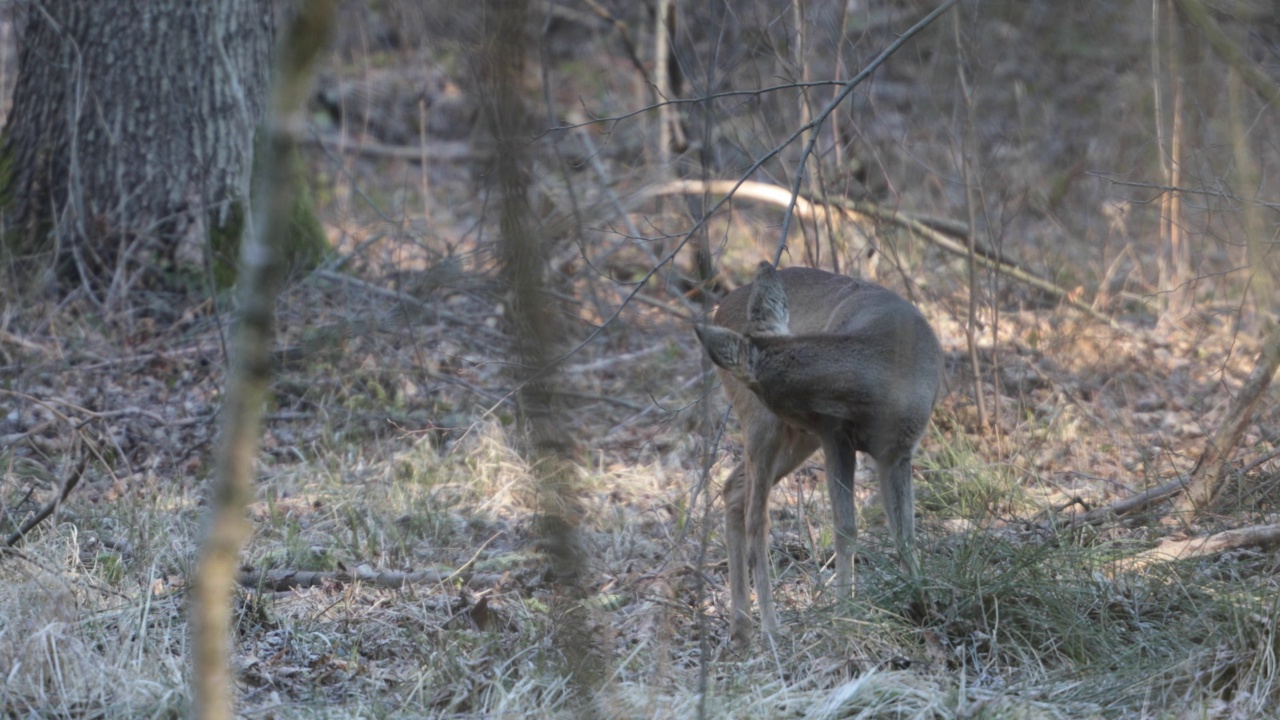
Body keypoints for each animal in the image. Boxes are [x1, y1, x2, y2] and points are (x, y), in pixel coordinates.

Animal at [701, 258, 942, 645]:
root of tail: (721, 306)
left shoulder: (898, 450)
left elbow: (905, 534)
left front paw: (923, 603)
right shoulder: (835, 435)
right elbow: (846, 529)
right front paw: (844, 616)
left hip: (796, 440)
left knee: (733, 489)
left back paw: (741, 628)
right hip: (767, 429)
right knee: (757, 518)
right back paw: (770, 628)